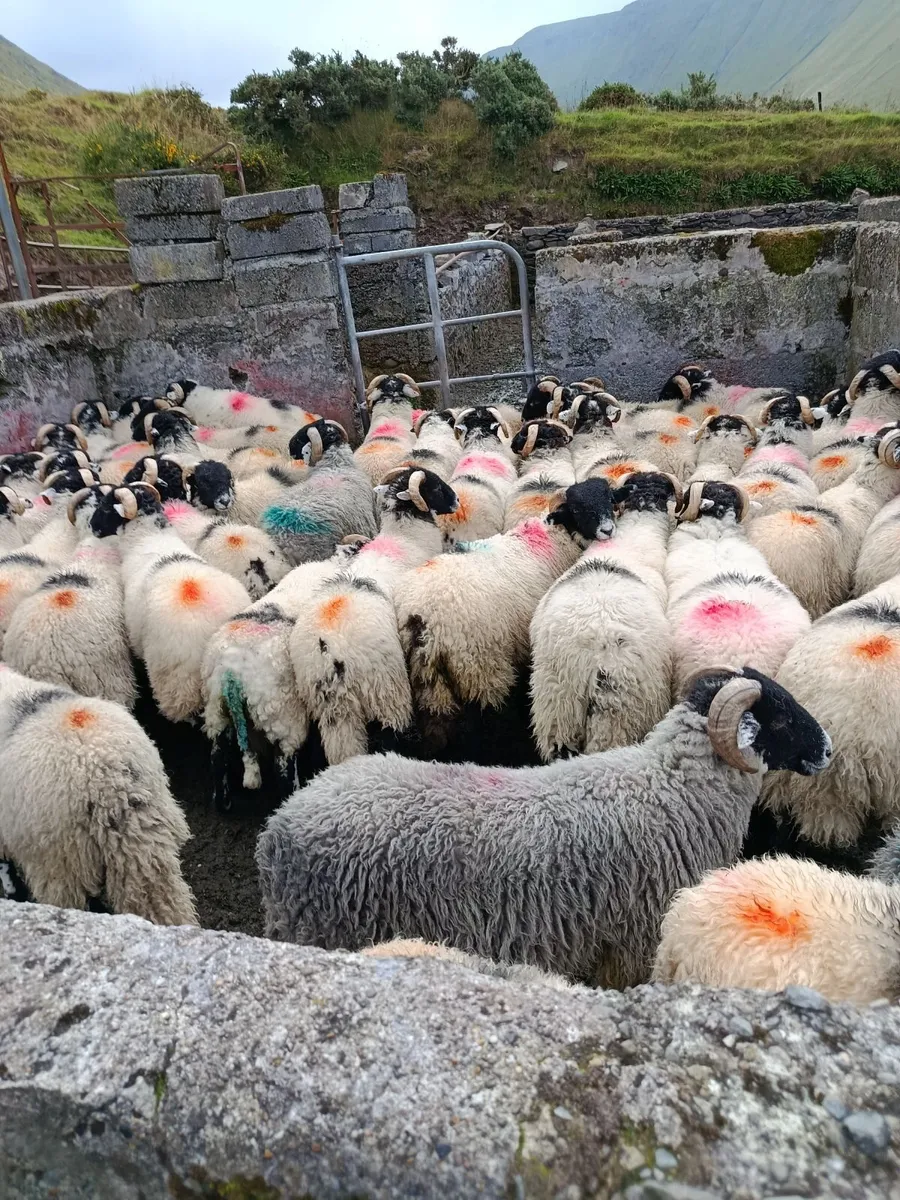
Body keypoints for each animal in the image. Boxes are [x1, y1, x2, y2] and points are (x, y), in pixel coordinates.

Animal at [257, 665, 832, 985]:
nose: (828, 749)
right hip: (325, 928)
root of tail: (278, 827)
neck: (670, 787)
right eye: (779, 717)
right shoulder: (633, 938)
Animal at [290, 467, 459, 765]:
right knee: (392, 730)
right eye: (437, 487)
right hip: (385, 688)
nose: (457, 501)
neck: (406, 537)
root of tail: (328, 651)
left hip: (331, 709)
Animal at [395, 478, 617, 759]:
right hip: (480, 664)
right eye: (577, 509)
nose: (607, 530)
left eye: (610, 498)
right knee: (489, 715)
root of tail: (421, 616)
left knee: (437, 722)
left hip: (429, 678)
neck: (556, 534)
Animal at [530, 471, 677, 761]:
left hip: (557, 712)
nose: (607, 530)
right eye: (577, 509)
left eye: (610, 498)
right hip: (620, 717)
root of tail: (591, 662)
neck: (636, 532)